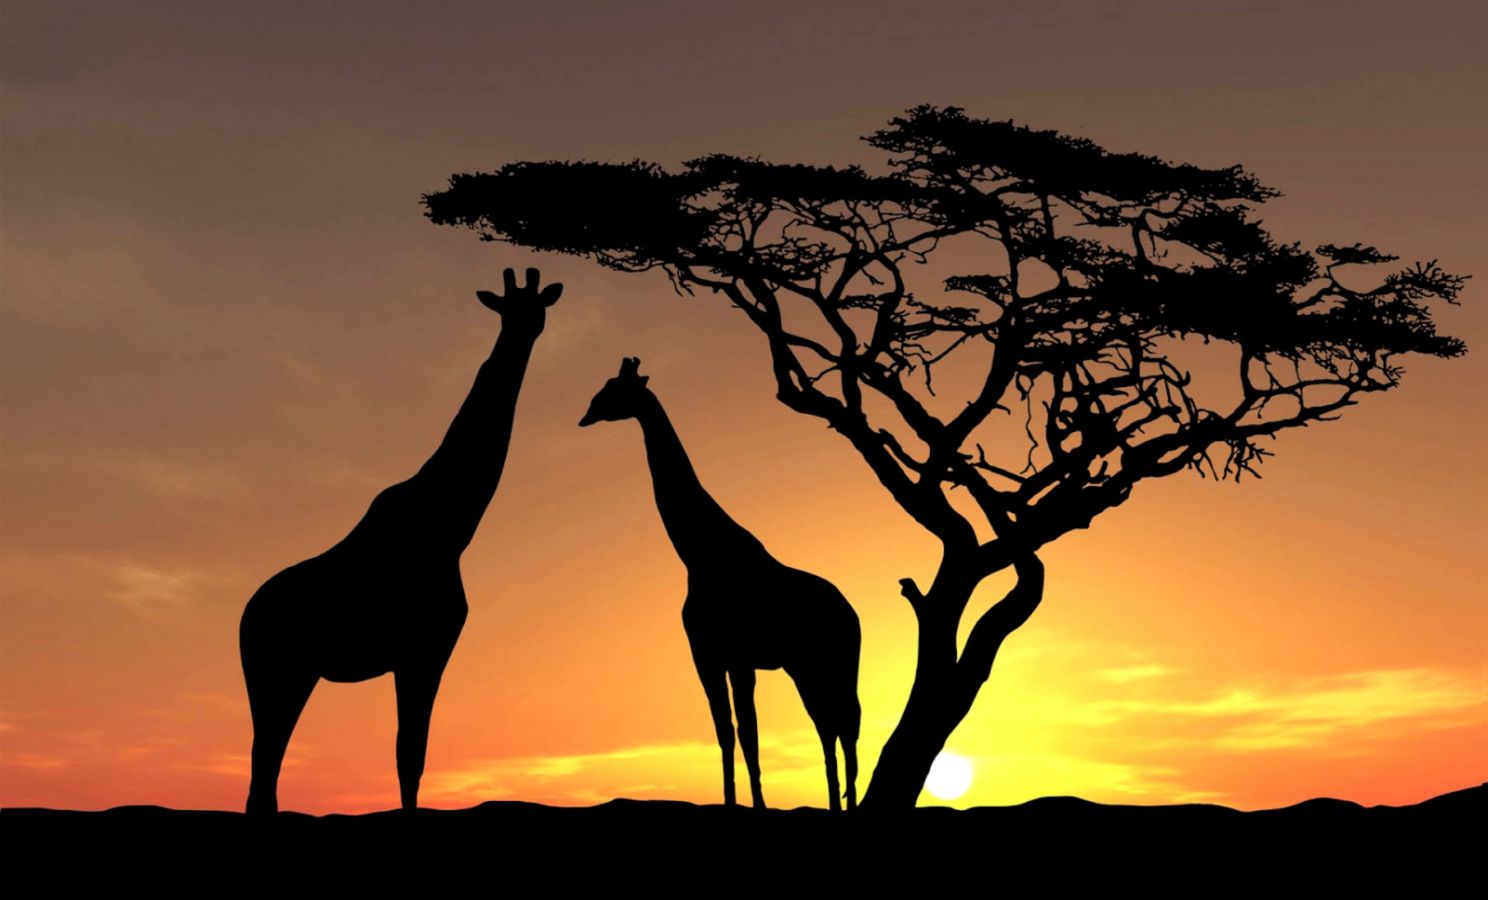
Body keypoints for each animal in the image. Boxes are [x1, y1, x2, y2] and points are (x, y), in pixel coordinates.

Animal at [238, 267, 561, 814]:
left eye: (537, 307)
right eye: (507, 310)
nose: (526, 333)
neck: (450, 528)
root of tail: (244, 618)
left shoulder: (426, 650)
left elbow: (412, 756)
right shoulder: (423, 649)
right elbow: (410, 754)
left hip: (288, 674)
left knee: (266, 767)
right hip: (278, 670)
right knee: (266, 762)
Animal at [580, 357, 862, 811]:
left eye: (614, 390)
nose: (585, 415)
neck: (700, 555)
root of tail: (852, 612)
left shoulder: (740, 657)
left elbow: (749, 732)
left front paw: (759, 805)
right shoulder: (708, 655)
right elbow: (725, 732)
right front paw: (732, 802)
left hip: (833, 660)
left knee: (844, 721)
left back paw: (846, 803)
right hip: (805, 667)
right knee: (829, 723)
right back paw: (838, 801)